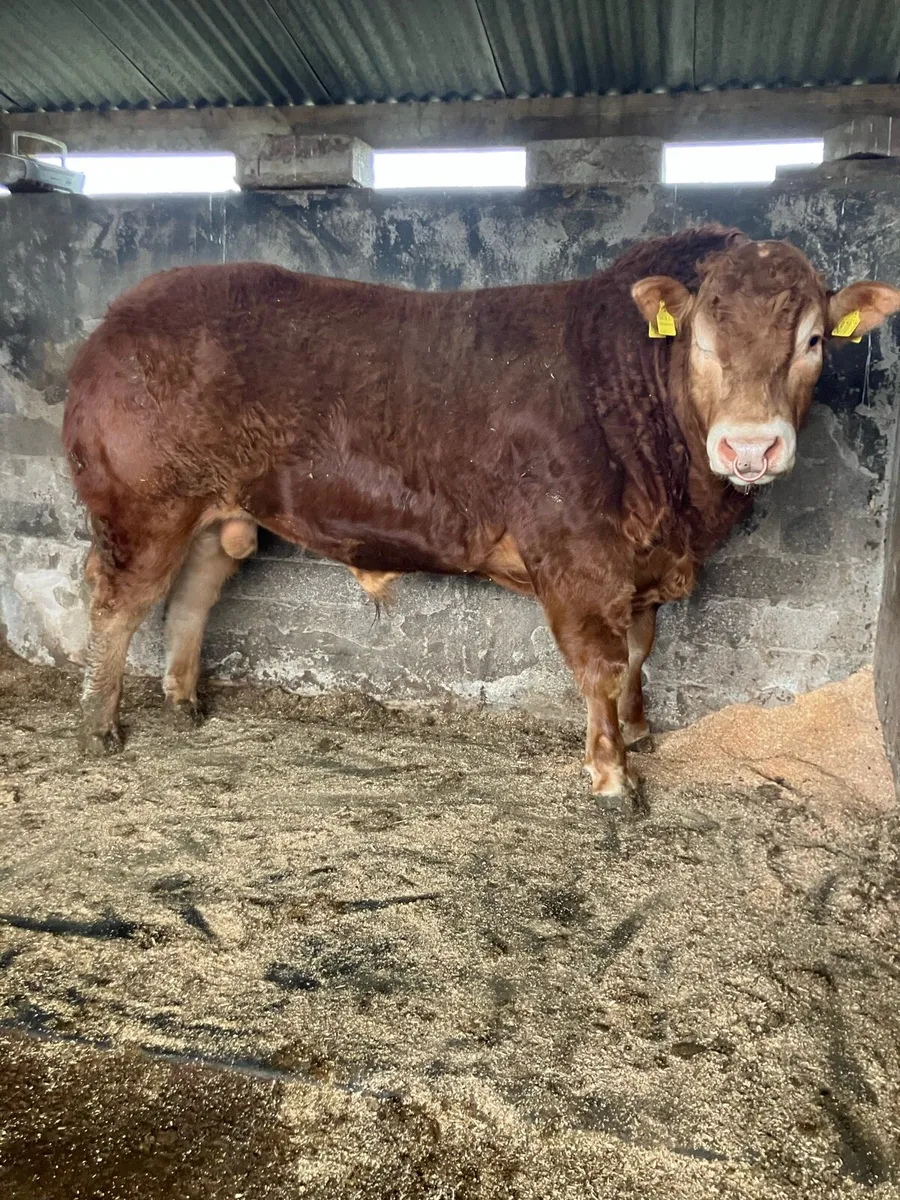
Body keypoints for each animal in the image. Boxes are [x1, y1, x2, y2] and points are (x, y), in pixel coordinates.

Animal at [62, 226, 900, 803]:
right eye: (698, 340)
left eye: (814, 340)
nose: (750, 445)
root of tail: (116, 318)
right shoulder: (574, 548)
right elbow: (599, 663)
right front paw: (611, 776)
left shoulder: (640, 562)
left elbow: (639, 653)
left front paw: (638, 733)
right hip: (143, 504)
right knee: (117, 601)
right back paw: (100, 724)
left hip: (219, 512)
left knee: (193, 594)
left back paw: (183, 701)